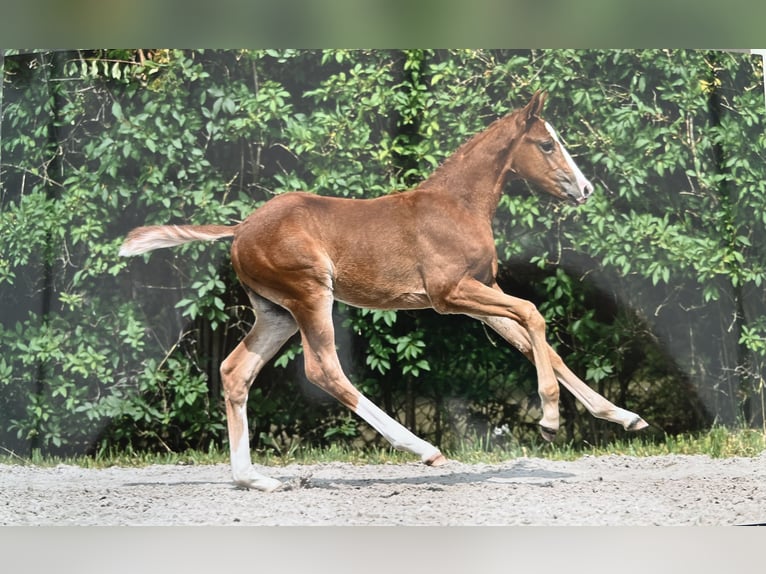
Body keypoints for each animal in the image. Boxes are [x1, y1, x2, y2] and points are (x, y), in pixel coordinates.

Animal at [119, 90, 648, 491]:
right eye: (545, 144)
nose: (585, 189)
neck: (458, 205)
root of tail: (241, 228)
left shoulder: (480, 291)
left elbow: (537, 341)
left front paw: (624, 416)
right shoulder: (449, 294)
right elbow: (534, 314)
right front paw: (550, 420)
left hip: (276, 312)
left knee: (235, 371)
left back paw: (256, 480)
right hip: (311, 296)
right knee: (324, 370)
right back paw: (425, 449)